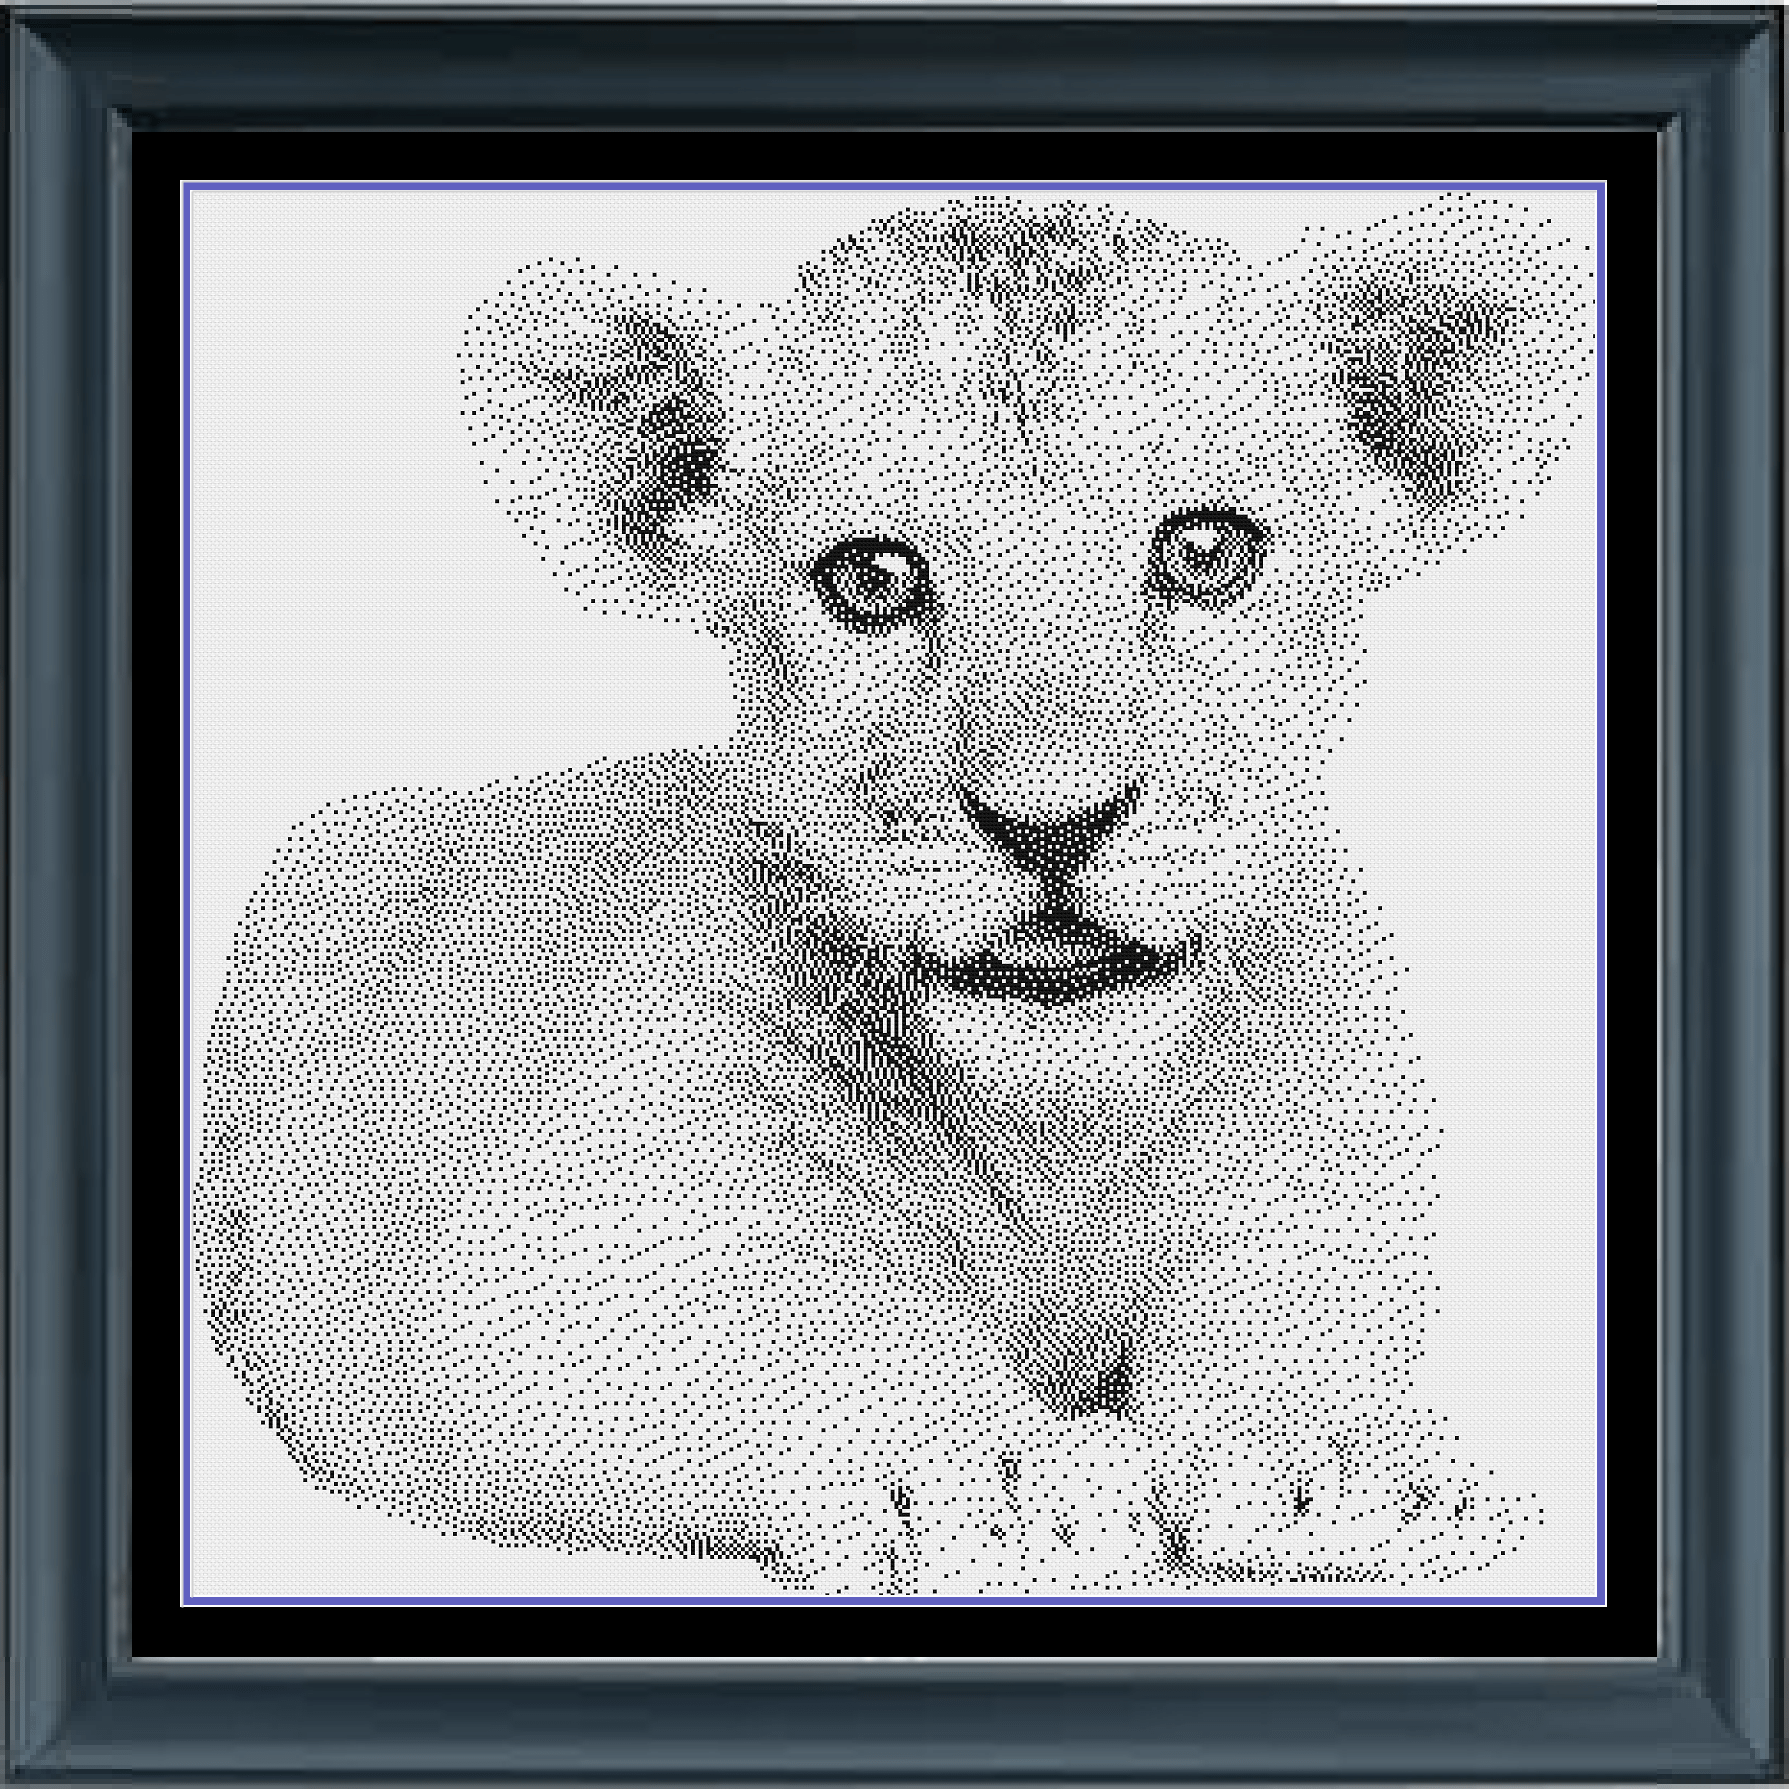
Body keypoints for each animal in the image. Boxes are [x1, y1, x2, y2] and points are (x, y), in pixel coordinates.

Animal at [193, 194, 1594, 1595]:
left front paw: (1346, 1466)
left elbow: (1299, 1295)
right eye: (869, 579)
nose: (1050, 822)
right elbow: (802, 1320)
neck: (1053, 1131)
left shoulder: (1331, 1164)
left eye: (1206, 554)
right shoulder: (522, 1264)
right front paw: (1006, 1487)